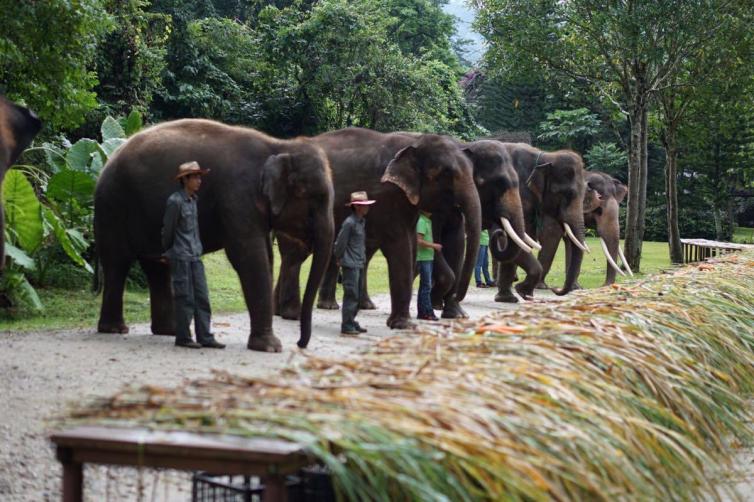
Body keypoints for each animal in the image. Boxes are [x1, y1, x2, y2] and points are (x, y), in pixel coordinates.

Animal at [93, 119, 332, 352]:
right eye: (314, 197)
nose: (300, 344)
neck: (280, 145)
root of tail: (107, 162)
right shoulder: (237, 196)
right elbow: (248, 257)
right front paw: (270, 347)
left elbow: (266, 256)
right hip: (112, 206)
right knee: (117, 262)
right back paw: (116, 329)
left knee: (156, 266)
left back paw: (168, 331)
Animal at [274, 127, 478, 328]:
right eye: (447, 174)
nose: (457, 296)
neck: (415, 142)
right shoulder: (387, 197)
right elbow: (400, 248)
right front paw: (404, 325)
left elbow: (413, 246)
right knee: (295, 253)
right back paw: (292, 314)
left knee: (294, 254)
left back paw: (284, 313)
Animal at [490, 143, 592, 304]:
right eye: (566, 194)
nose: (555, 289)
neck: (546, 156)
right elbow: (515, 237)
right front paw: (519, 293)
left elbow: (525, 236)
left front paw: (509, 298)